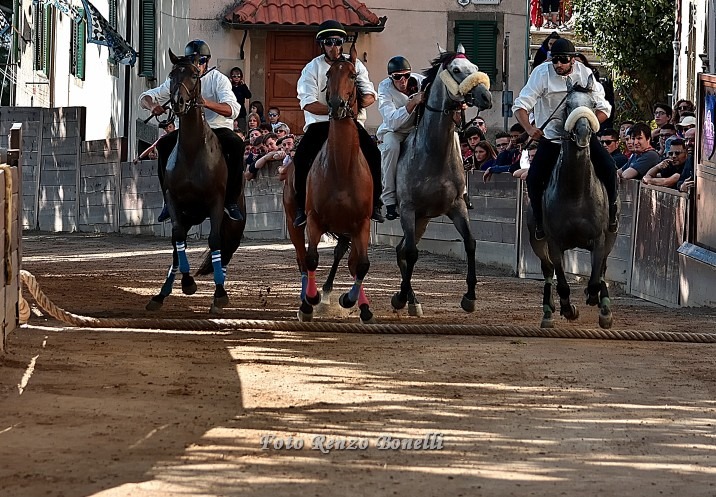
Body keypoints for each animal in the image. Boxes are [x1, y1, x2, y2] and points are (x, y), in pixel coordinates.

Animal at [392, 48, 492, 316]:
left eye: (475, 66)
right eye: (456, 70)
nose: (486, 96)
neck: (431, 154)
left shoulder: (456, 206)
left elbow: (470, 243)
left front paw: (470, 296)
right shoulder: (408, 209)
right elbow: (412, 253)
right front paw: (400, 297)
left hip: (422, 220)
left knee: (400, 251)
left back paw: (412, 299)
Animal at [528, 77, 620, 330]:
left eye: (593, 103)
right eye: (568, 105)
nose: (583, 132)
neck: (576, 194)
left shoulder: (599, 239)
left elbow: (596, 277)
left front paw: (595, 299)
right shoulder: (554, 243)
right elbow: (561, 282)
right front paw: (568, 309)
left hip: (610, 237)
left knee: (603, 268)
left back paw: (605, 308)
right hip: (538, 243)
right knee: (548, 272)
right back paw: (548, 312)